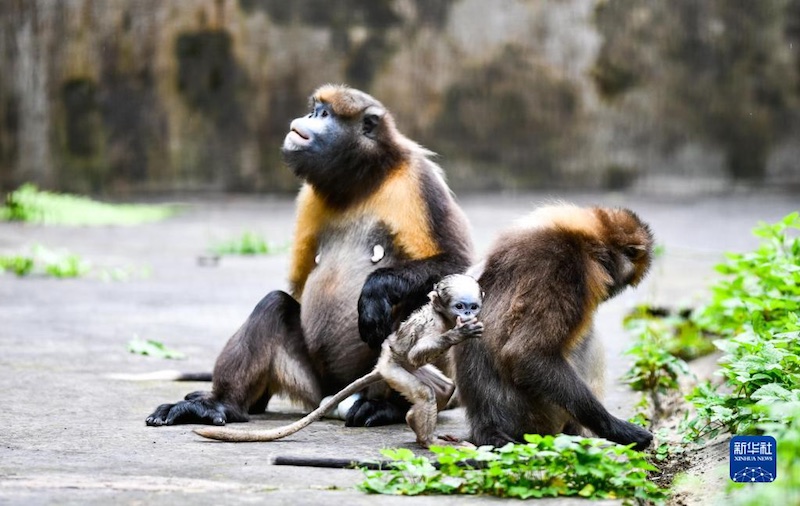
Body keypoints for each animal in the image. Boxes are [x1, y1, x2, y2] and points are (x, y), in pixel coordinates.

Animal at [145, 85, 474, 429]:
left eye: (324, 114)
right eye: (314, 110)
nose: (307, 118)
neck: (361, 184)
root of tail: (337, 391)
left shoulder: (418, 180)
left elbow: (456, 264)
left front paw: (376, 290)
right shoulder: (310, 197)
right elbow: (295, 289)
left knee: (416, 303)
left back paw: (388, 406)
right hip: (313, 382)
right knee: (273, 305)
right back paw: (220, 405)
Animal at [193, 274, 483, 447]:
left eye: (473, 307)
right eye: (460, 306)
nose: (469, 314)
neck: (443, 317)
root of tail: (382, 363)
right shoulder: (433, 324)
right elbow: (416, 351)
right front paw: (457, 335)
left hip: (406, 370)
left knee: (444, 388)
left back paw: (415, 422)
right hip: (394, 368)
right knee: (423, 391)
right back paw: (425, 438)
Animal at [453, 203, 655, 451]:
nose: (611, 291)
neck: (581, 237)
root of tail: (485, 420)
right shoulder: (564, 262)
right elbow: (525, 355)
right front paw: (617, 429)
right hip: (542, 416)